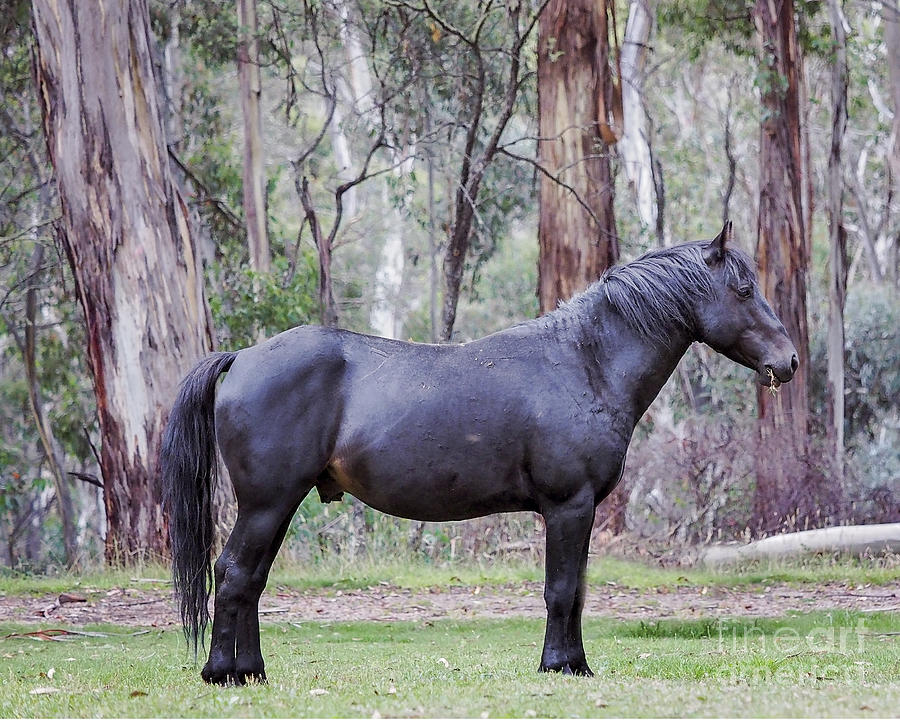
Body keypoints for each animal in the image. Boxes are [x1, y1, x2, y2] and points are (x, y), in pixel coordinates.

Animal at [160, 222, 796, 684]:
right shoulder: (569, 506)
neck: (585, 360)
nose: (786, 362)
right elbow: (561, 589)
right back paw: (222, 674)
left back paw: (251, 672)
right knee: (234, 574)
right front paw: (560, 666)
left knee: (251, 580)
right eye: (743, 290)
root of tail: (242, 357)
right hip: (267, 503)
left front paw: (577, 664)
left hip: (276, 506)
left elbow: (578, 590)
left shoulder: (581, 511)